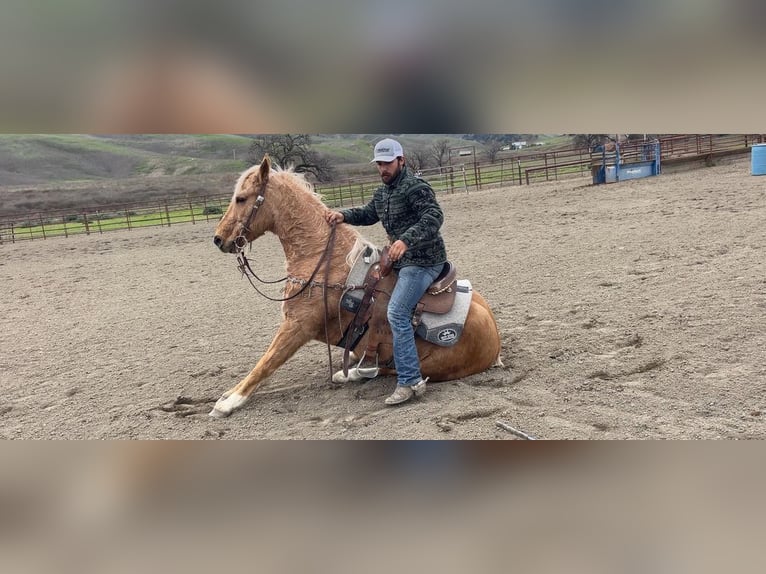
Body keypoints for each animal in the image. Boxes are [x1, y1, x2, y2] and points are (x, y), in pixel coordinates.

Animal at [210, 156, 500, 418]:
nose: (218, 238)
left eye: (241, 198)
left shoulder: (297, 326)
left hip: (428, 366)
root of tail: (495, 342)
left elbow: (265, 363)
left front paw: (228, 402)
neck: (323, 259)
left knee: (393, 370)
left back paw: (360, 374)